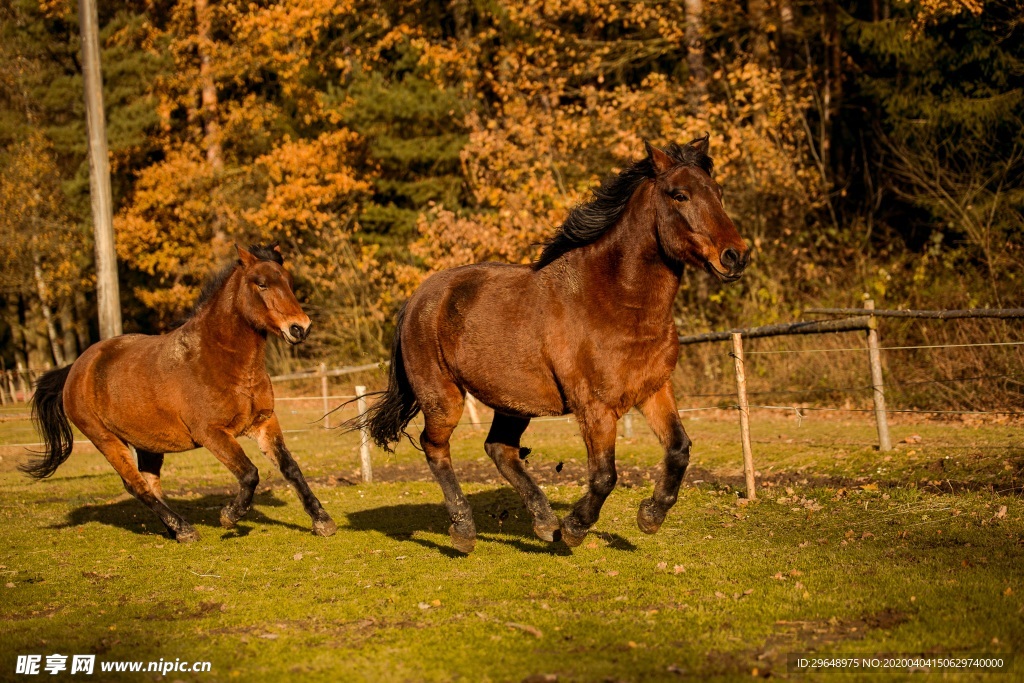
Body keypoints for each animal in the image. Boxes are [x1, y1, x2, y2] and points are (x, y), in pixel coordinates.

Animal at [23, 242, 335, 540]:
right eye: (261, 284)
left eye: (289, 282)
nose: (300, 328)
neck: (219, 359)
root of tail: (76, 368)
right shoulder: (211, 433)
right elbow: (249, 474)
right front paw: (229, 516)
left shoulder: (264, 422)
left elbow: (290, 468)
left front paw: (322, 521)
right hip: (106, 440)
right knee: (136, 485)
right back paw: (184, 529)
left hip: (146, 442)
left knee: (150, 483)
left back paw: (174, 530)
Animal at [356, 136, 749, 552]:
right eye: (679, 195)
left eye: (718, 192)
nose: (736, 256)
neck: (615, 300)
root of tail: (418, 298)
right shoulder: (594, 407)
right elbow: (604, 475)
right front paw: (576, 526)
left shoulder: (653, 390)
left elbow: (678, 450)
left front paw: (650, 516)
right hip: (443, 397)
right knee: (435, 447)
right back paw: (464, 530)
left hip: (512, 400)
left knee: (499, 449)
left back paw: (544, 522)